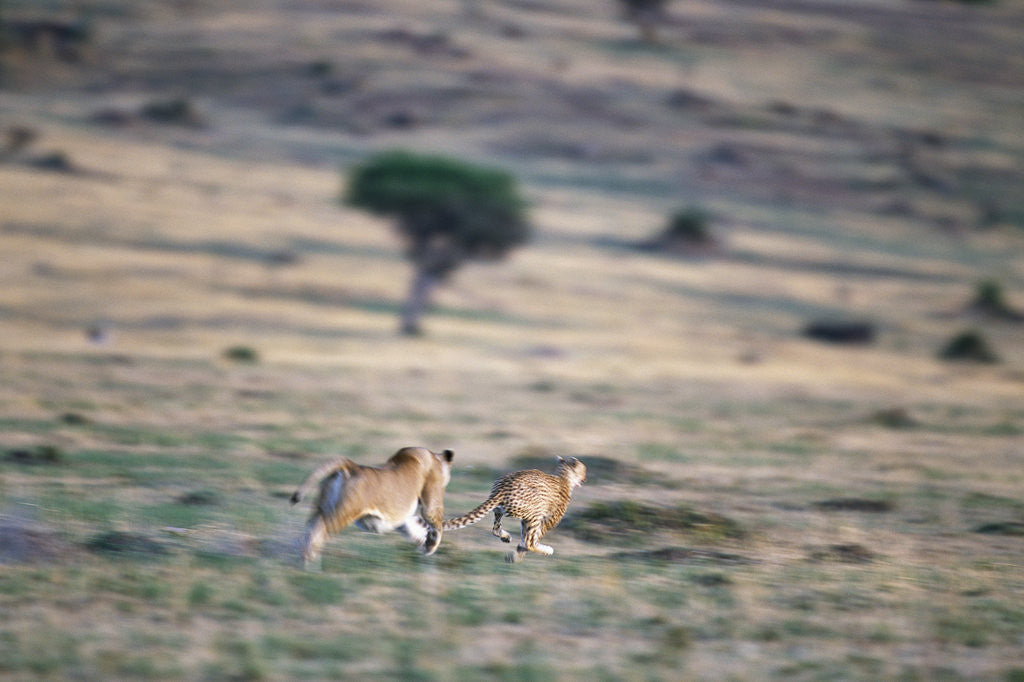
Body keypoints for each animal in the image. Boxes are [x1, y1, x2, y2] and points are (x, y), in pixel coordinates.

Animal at [289, 446, 454, 569]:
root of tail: (352, 466)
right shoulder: (430, 504)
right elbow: (436, 527)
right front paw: (431, 546)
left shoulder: (400, 517)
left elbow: (414, 529)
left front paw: (425, 544)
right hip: (341, 514)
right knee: (316, 533)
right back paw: (309, 565)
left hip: (322, 507)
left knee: (308, 530)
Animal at [443, 456, 586, 563]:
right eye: (583, 470)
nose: (584, 479)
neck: (564, 477)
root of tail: (502, 487)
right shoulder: (549, 519)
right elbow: (533, 537)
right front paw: (518, 554)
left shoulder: (525, 519)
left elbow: (524, 536)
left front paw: (516, 552)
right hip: (535, 512)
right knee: (530, 542)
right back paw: (547, 550)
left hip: (500, 510)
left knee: (496, 529)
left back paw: (506, 537)